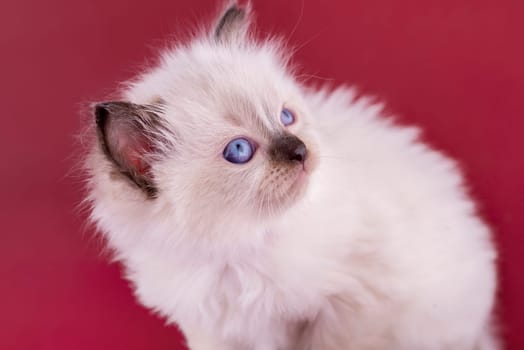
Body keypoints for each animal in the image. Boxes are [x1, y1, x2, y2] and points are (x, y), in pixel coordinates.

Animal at [85, 2, 500, 350]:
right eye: (239, 151)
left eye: (286, 117)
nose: (300, 150)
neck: (241, 251)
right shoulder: (215, 330)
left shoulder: (354, 302)